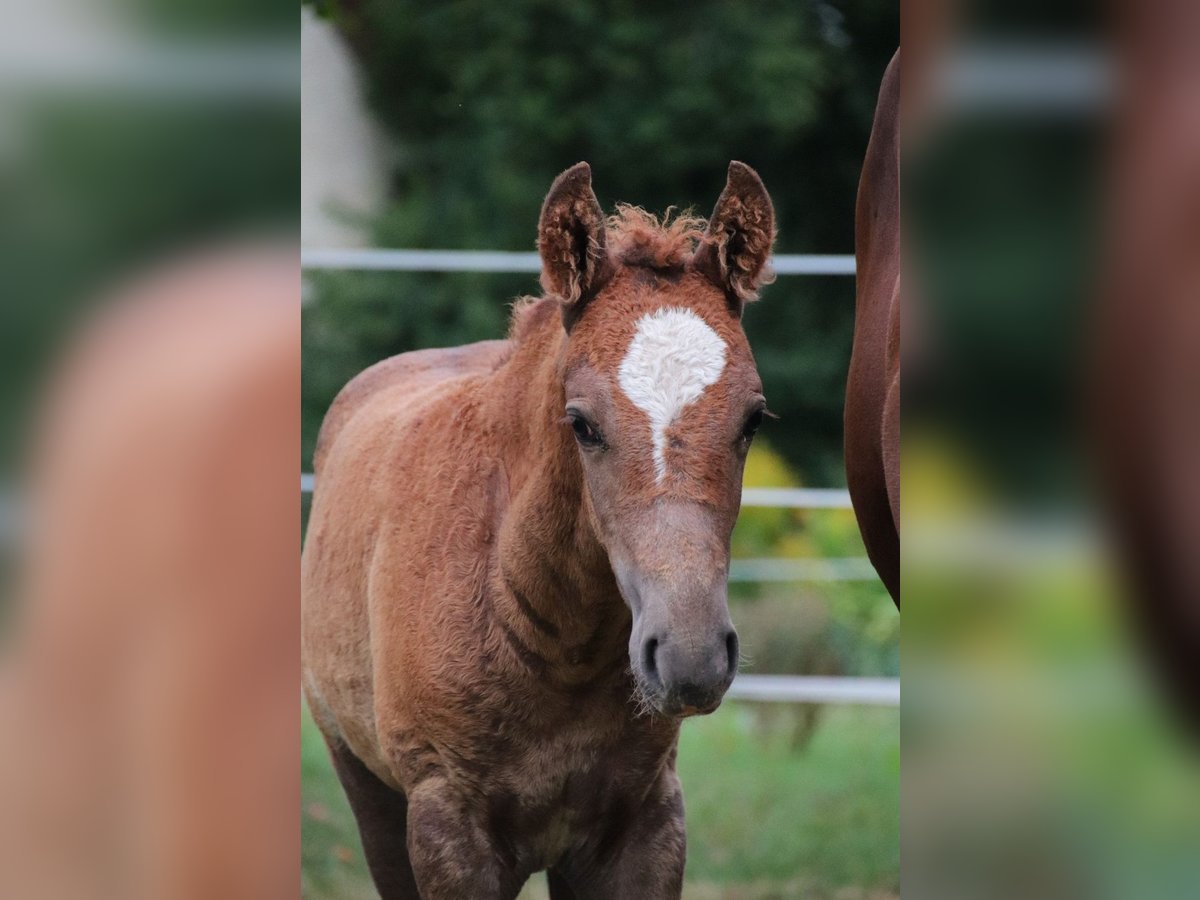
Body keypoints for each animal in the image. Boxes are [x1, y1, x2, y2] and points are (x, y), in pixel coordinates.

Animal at [300, 164, 777, 900]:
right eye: (581, 423)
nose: (691, 656)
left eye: (752, 419)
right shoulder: (448, 834)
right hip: (364, 783)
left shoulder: (646, 826)